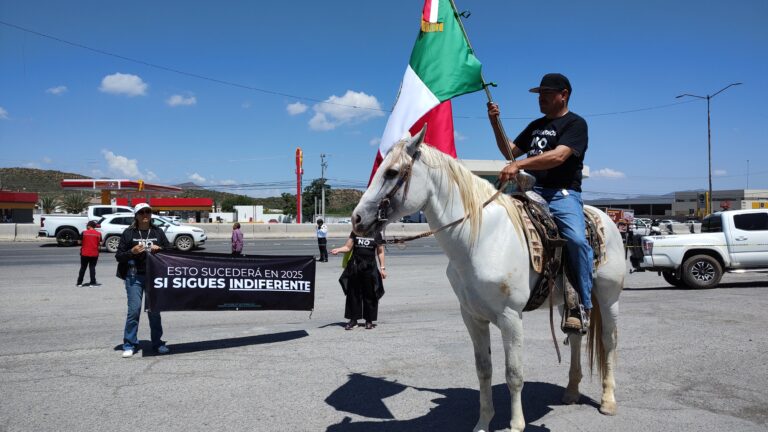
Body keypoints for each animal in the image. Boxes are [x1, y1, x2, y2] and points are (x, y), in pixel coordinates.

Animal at [352, 127, 624, 432]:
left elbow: (514, 373)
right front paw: (483, 422)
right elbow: (484, 370)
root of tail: (606, 219)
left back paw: (607, 401)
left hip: (608, 298)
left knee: (609, 341)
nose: (357, 218)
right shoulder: (472, 316)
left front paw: (516, 425)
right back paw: (571, 392)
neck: (480, 239)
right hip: (569, 301)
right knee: (576, 336)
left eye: (392, 172)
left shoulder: (510, 317)